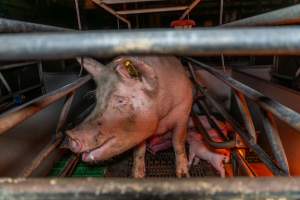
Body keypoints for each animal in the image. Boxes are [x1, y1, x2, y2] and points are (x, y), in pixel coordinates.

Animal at [64, 55, 193, 177]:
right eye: (97, 98)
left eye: (120, 100)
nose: (71, 136)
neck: (160, 120)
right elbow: (139, 150)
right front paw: (137, 175)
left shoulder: (183, 113)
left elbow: (178, 142)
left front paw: (183, 174)